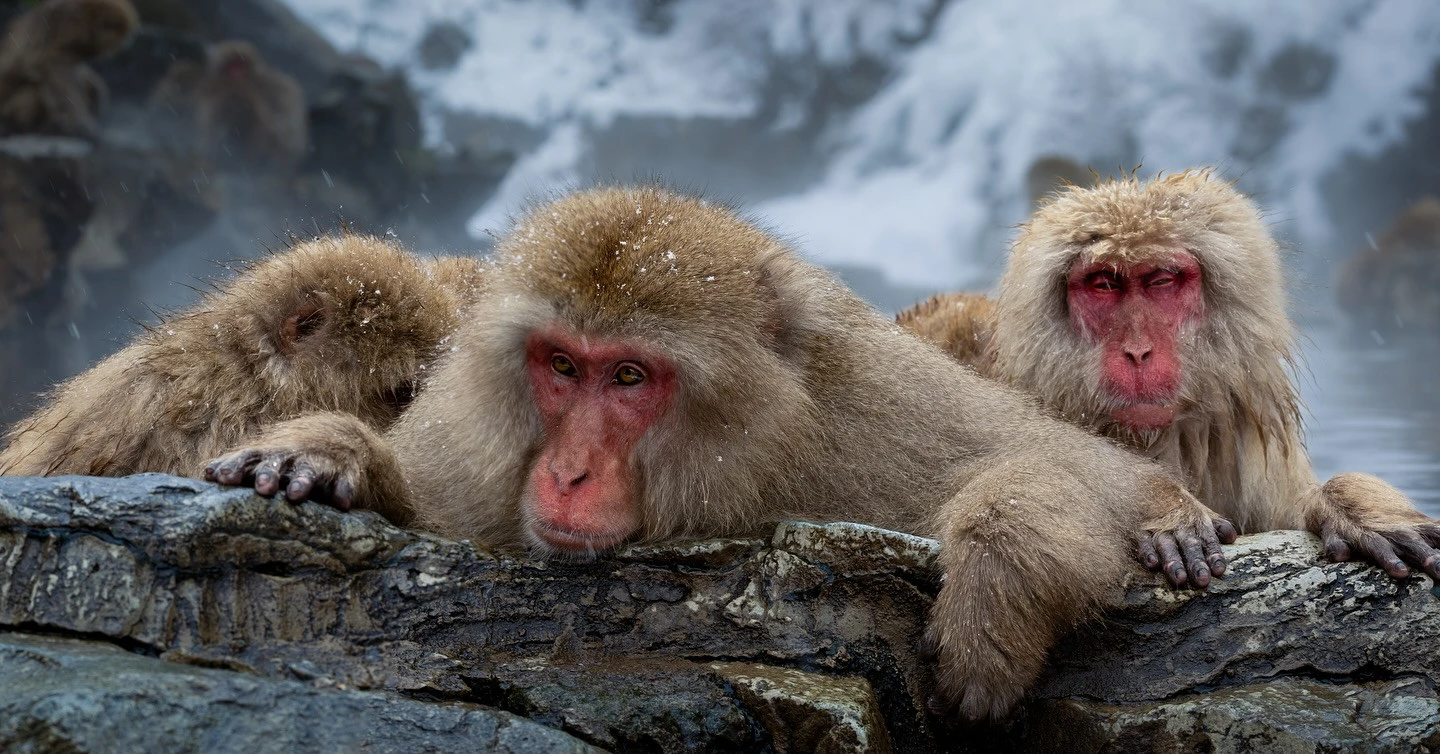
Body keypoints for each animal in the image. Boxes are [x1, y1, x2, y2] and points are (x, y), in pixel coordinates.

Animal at [0, 0, 137, 140]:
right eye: (119, 37)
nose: (123, 46)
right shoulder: (61, 34)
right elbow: (52, 71)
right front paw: (85, 127)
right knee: (33, 91)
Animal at [201, 185, 1236, 722]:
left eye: (629, 377)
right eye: (562, 366)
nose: (568, 473)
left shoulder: (871, 410)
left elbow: (1062, 461)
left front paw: (1007, 582)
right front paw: (333, 453)